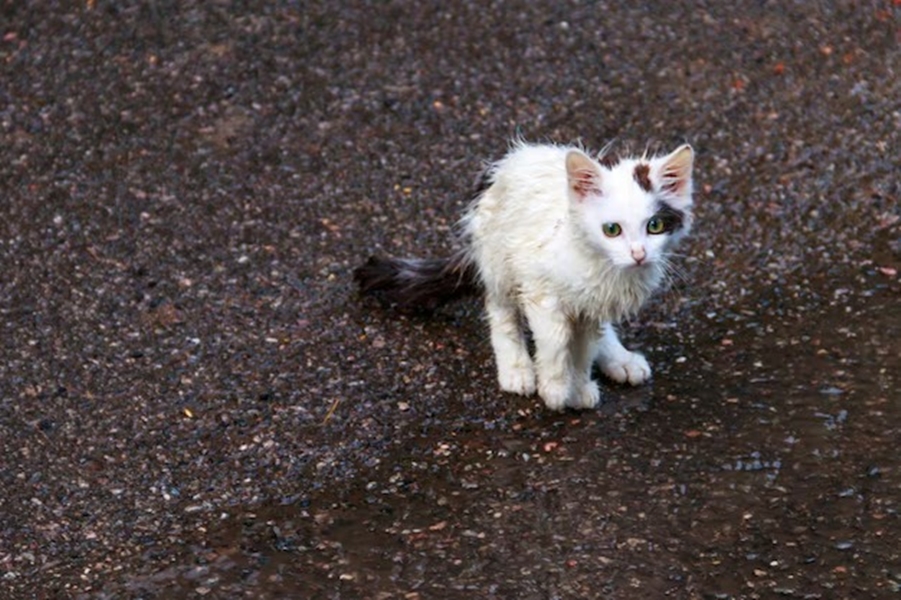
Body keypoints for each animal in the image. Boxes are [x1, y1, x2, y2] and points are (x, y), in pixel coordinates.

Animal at [356, 141, 692, 412]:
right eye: (612, 229)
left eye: (654, 226)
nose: (639, 254)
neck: (600, 265)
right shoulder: (538, 286)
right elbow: (556, 339)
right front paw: (555, 388)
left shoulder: (591, 308)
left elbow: (584, 348)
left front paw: (579, 386)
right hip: (498, 257)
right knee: (499, 309)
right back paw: (516, 368)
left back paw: (620, 359)